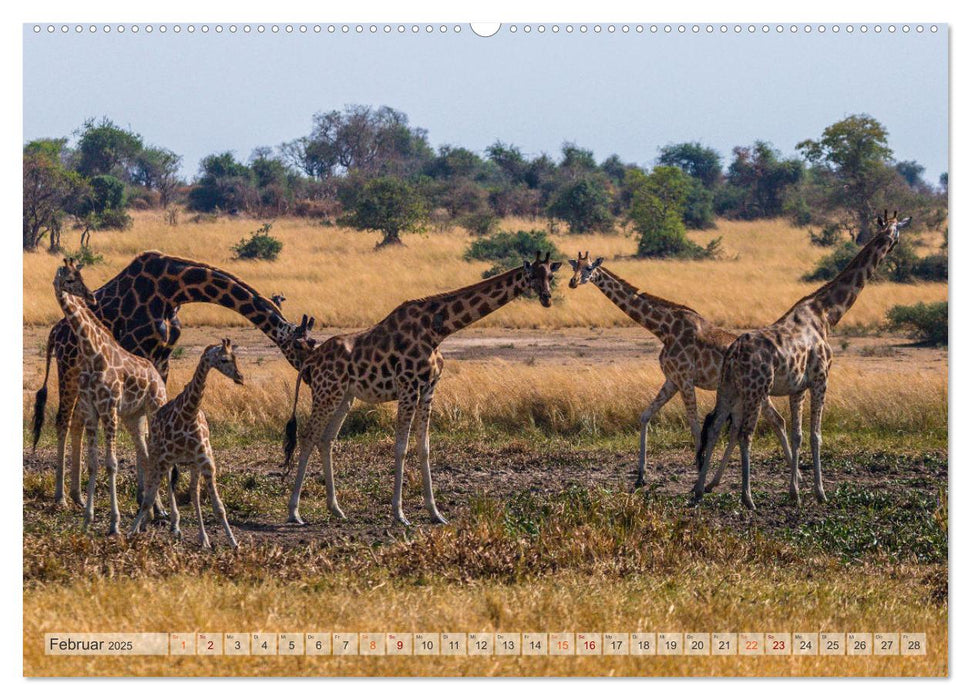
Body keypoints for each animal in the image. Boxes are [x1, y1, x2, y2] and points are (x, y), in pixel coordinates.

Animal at [52, 260, 167, 532]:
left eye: (80, 276)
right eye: (69, 279)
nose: (91, 296)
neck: (92, 353)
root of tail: (157, 376)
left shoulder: (109, 408)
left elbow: (112, 463)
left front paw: (114, 523)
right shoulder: (92, 409)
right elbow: (94, 463)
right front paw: (87, 519)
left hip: (154, 408)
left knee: (154, 455)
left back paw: (160, 511)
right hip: (134, 417)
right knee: (145, 454)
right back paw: (149, 513)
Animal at [131, 340, 245, 552]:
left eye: (235, 357)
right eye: (224, 359)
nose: (240, 378)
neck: (188, 414)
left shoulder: (206, 461)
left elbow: (218, 507)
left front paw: (233, 543)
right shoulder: (164, 459)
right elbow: (148, 498)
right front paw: (131, 532)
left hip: (191, 464)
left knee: (193, 493)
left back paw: (203, 538)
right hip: (159, 456)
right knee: (160, 485)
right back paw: (166, 525)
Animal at [280, 252, 560, 524]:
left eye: (550, 275)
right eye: (532, 275)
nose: (546, 298)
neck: (437, 331)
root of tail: (310, 361)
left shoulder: (427, 390)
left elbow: (424, 448)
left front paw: (435, 513)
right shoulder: (408, 387)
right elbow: (401, 447)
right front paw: (399, 514)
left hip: (344, 396)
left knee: (326, 439)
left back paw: (336, 509)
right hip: (326, 392)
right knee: (308, 436)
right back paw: (294, 511)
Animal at [568, 252, 788, 486]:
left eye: (589, 268)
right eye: (574, 266)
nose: (572, 282)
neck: (663, 329)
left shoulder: (685, 379)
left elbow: (695, 426)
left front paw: (698, 470)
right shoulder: (672, 380)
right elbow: (645, 416)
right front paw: (640, 476)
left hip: (755, 391)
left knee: (776, 421)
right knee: (759, 425)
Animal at [692, 208, 912, 508]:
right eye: (897, 230)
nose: (894, 244)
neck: (826, 314)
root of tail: (734, 354)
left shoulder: (797, 388)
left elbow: (796, 435)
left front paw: (794, 492)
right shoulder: (821, 379)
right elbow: (816, 435)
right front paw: (820, 492)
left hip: (728, 388)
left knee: (715, 428)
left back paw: (699, 490)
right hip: (755, 389)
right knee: (745, 433)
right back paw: (748, 498)